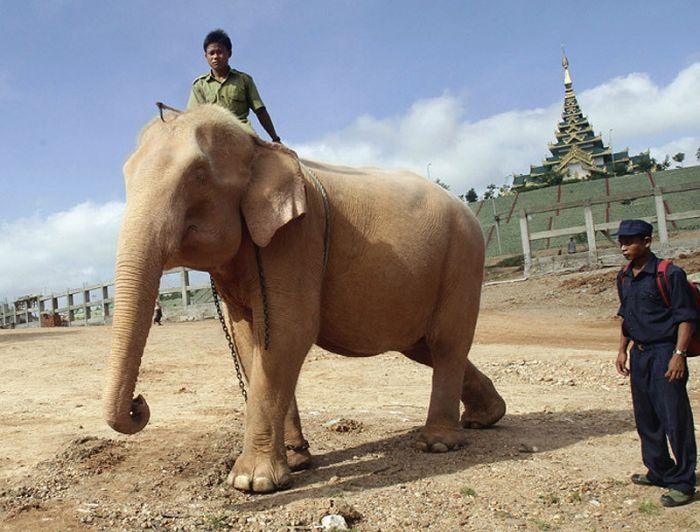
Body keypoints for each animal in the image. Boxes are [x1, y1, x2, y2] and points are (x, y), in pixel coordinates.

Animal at [105, 104, 504, 494]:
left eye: (199, 175)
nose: (139, 403)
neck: (258, 147)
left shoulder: (297, 238)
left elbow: (288, 333)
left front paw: (251, 482)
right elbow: (250, 341)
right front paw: (295, 462)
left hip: (464, 258)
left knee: (446, 342)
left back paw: (438, 443)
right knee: (423, 346)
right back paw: (486, 417)